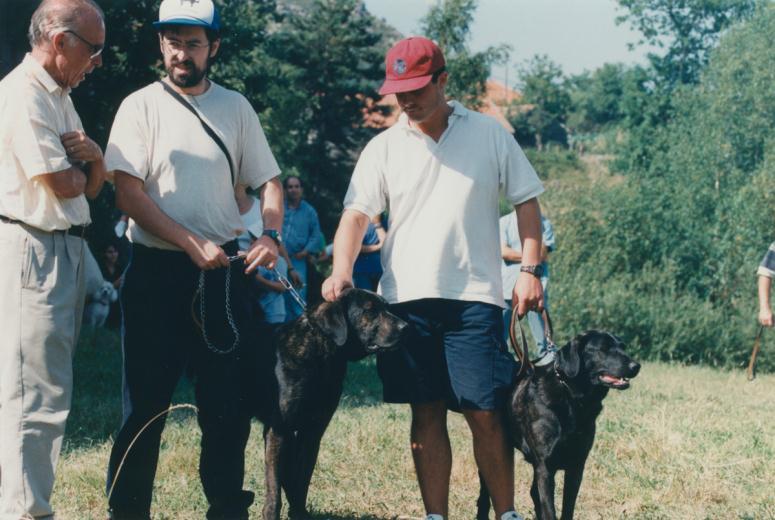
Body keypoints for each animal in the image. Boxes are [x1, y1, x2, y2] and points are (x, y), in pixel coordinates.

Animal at [249, 288, 410, 520]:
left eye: (387, 308)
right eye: (370, 311)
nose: (405, 327)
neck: (322, 356)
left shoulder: (312, 433)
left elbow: (301, 481)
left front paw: (299, 513)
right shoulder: (278, 431)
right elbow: (274, 486)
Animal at [478, 332, 644, 516]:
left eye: (622, 347)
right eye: (604, 349)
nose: (636, 366)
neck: (572, 398)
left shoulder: (576, 466)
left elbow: (567, 507)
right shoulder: (545, 467)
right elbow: (549, 509)